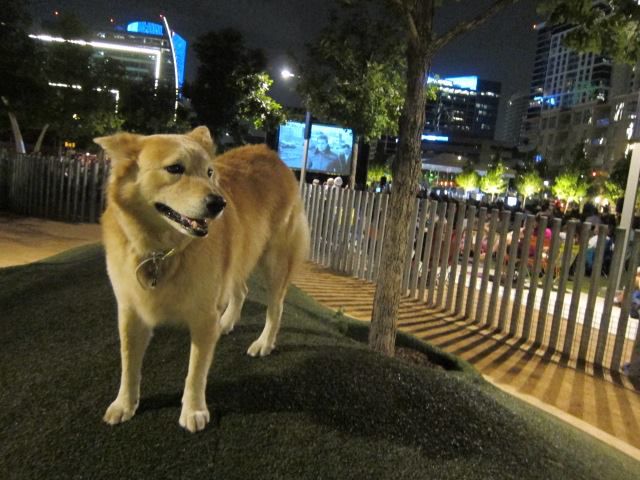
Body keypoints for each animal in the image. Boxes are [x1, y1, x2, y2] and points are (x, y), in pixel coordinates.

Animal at [95, 126, 312, 432]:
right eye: (175, 168)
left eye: (209, 172)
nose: (219, 203)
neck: (162, 251)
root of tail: (269, 153)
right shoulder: (130, 313)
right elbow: (129, 364)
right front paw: (125, 404)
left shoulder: (203, 316)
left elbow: (196, 370)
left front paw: (194, 410)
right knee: (242, 290)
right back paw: (227, 322)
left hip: (275, 261)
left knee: (276, 307)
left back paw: (264, 342)